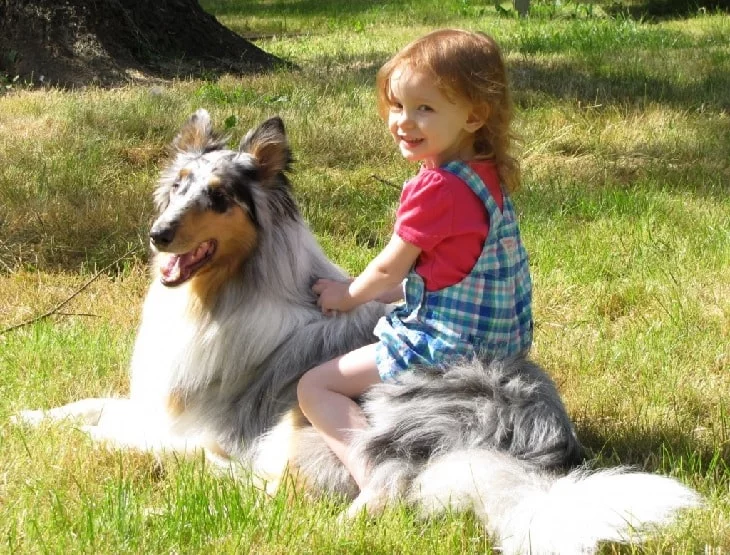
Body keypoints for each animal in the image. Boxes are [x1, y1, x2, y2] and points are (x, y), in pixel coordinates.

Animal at [17, 109, 696, 555]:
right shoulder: (157, 401)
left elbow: (118, 426)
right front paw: (29, 417)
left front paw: (99, 440)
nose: (157, 236)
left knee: (301, 493)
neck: (227, 290)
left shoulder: (191, 419)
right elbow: (91, 402)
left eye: (218, 198)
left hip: (315, 425)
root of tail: (519, 446)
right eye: (178, 188)